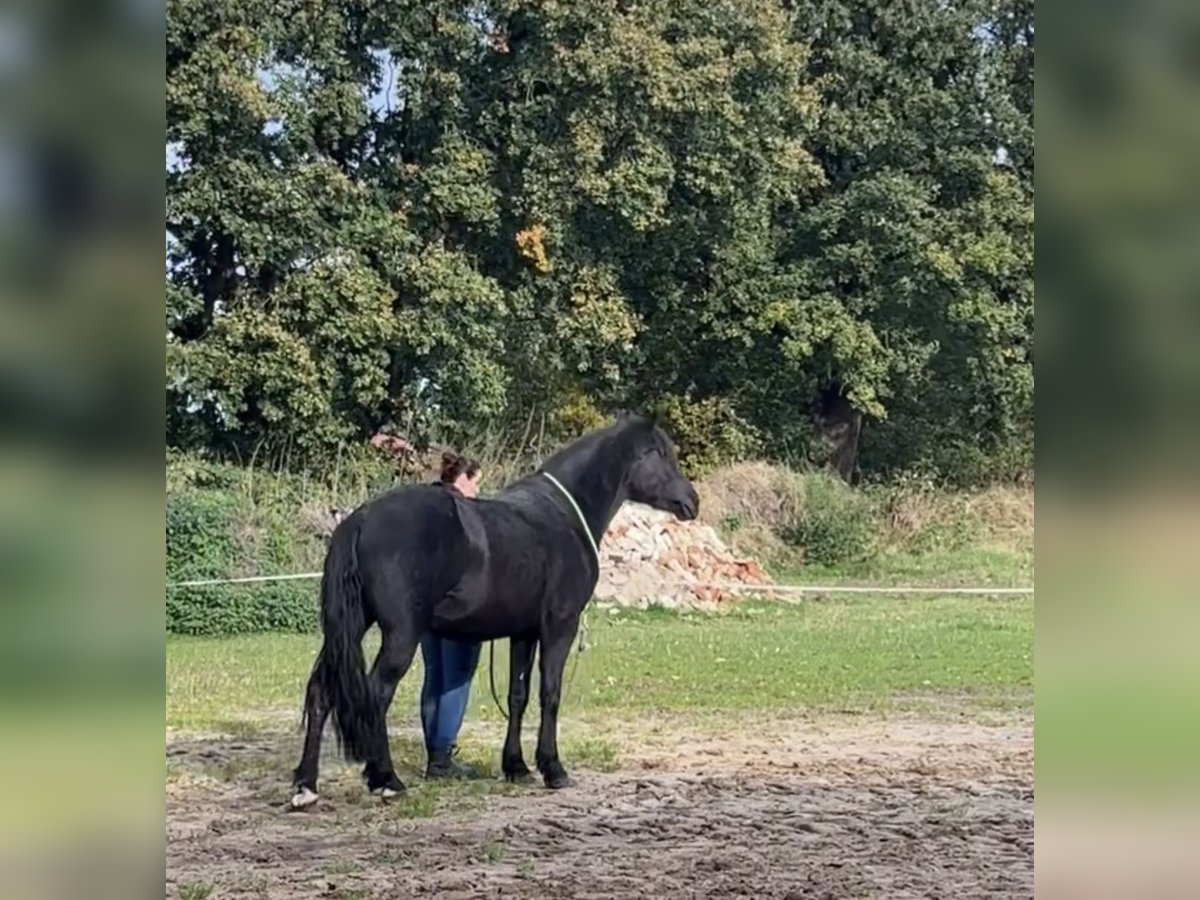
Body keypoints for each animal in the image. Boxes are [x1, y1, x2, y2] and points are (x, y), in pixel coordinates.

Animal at [290, 412, 700, 806]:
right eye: (658, 454)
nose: (692, 501)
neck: (563, 515)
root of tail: (359, 519)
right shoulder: (559, 627)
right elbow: (550, 693)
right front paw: (553, 769)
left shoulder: (524, 632)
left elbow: (517, 696)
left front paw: (516, 766)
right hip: (400, 636)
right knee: (375, 695)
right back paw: (385, 780)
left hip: (350, 627)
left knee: (320, 691)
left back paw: (305, 786)